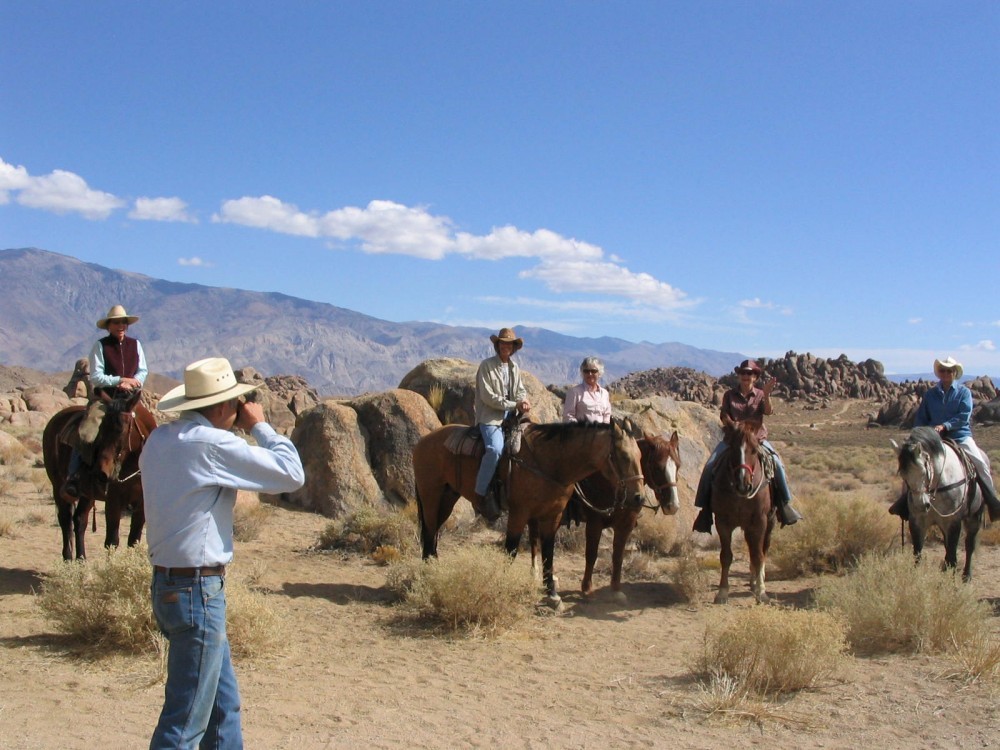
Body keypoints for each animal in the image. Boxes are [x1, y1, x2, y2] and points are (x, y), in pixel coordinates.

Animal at [42, 390, 156, 560]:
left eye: (120, 430)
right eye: (101, 431)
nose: (101, 473)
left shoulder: (142, 505)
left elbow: (134, 541)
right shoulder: (113, 501)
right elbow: (112, 541)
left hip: (87, 494)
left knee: (80, 520)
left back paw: (81, 559)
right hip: (57, 486)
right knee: (65, 520)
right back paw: (68, 559)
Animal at [410, 424, 644, 604]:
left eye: (641, 456)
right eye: (624, 456)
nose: (639, 498)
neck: (549, 464)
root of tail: (423, 441)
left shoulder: (552, 516)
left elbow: (548, 551)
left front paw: (551, 593)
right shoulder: (519, 514)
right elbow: (511, 550)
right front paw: (502, 586)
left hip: (448, 497)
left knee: (434, 531)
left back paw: (434, 568)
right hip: (431, 495)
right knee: (429, 531)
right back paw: (427, 573)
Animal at [528, 432, 684, 596]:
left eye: (678, 465)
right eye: (657, 467)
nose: (673, 505)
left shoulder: (626, 524)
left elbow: (618, 556)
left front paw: (615, 589)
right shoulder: (595, 522)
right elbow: (591, 554)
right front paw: (587, 587)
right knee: (534, 539)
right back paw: (536, 574)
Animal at [712, 424, 772, 604]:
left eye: (754, 449)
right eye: (732, 448)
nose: (743, 485)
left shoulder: (759, 522)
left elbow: (758, 556)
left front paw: (761, 592)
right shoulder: (722, 522)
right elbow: (726, 556)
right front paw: (722, 592)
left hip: (769, 523)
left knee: (762, 549)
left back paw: (757, 581)